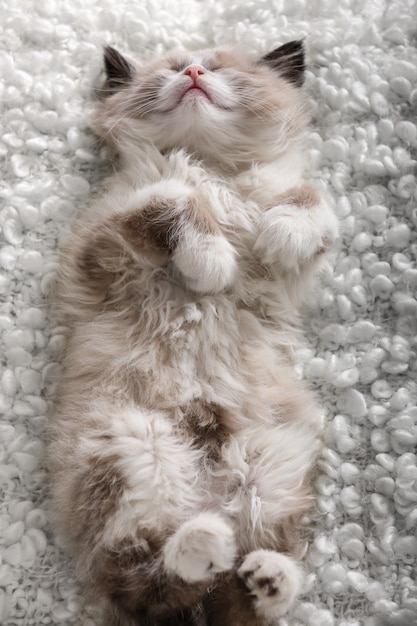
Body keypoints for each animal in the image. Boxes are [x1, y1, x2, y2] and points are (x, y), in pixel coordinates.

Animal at [47, 40, 336, 624]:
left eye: (222, 69)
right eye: (172, 70)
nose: (197, 73)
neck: (209, 166)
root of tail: (210, 496)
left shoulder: (294, 264)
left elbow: (308, 202)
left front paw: (278, 234)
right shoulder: (100, 245)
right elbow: (173, 200)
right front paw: (211, 262)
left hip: (269, 471)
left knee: (237, 596)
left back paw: (264, 576)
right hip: (131, 446)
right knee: (146, 577)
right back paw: (205, 543)